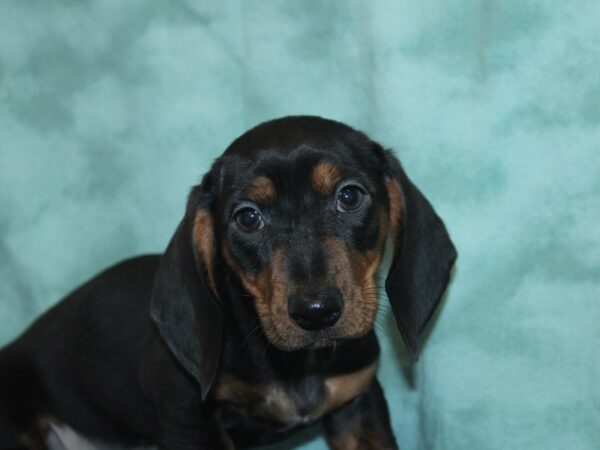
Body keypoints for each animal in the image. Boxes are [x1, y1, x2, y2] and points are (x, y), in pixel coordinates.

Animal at [0, 117, 454, 450]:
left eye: (350, 196)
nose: (316, 312)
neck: (293, 364)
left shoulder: (358, 404)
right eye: (248, 217)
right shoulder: (188, 419)